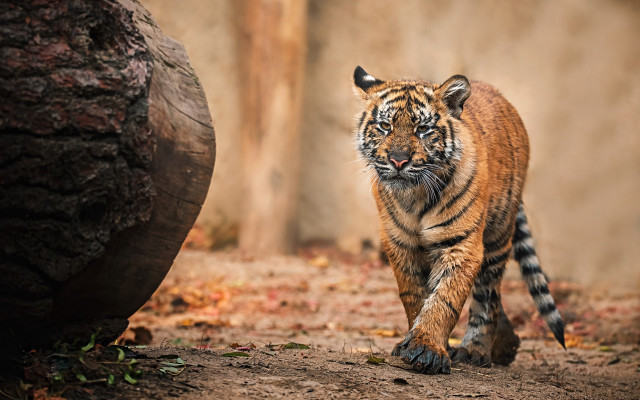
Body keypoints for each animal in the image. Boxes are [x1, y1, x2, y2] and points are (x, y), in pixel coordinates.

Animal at [352, 66, 565, 374]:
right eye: (385, 126)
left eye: (423, 129)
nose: (398, 160)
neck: (415, 196)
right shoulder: (401, 244)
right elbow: (414, 297)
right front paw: (413, 343)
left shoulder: (461, 244)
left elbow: (444, 298)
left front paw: (427, 348)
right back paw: (506, 344)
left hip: (498, 237)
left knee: (488, 298)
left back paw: (476, 350)